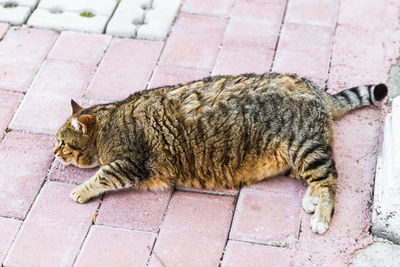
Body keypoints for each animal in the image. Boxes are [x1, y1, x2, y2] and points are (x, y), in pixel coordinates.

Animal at [54, 73, 388, 234]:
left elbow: (103, 174)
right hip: (297, 154)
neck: (109, 121)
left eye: (62, 141)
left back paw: (320, 215)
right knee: (317, 179)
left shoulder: (132, 162)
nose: (54, 150)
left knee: (330, 179)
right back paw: (311, 199)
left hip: (305, 148)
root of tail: (313, 88)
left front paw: (80, 191)